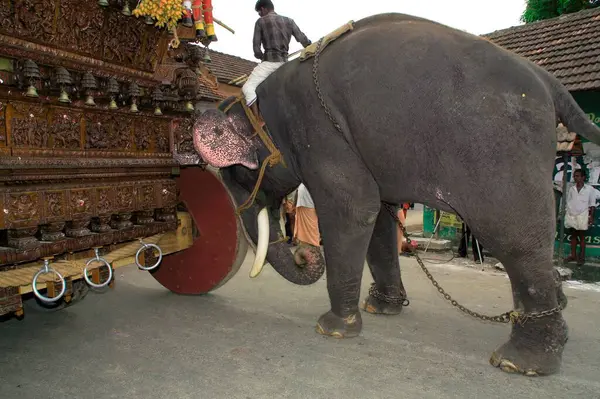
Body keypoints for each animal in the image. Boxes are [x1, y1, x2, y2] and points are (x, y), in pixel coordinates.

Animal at [188, 12, 600, 378]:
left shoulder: (321, 131)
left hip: (500, 146)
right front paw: (380, 309)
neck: (261, 102)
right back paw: (556, 311)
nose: (303, 253)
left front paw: (332, 328)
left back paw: (520, 363)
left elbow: (354, 210)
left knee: (513, 235)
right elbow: (380, 220)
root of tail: (548, 81)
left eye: (235, 173)